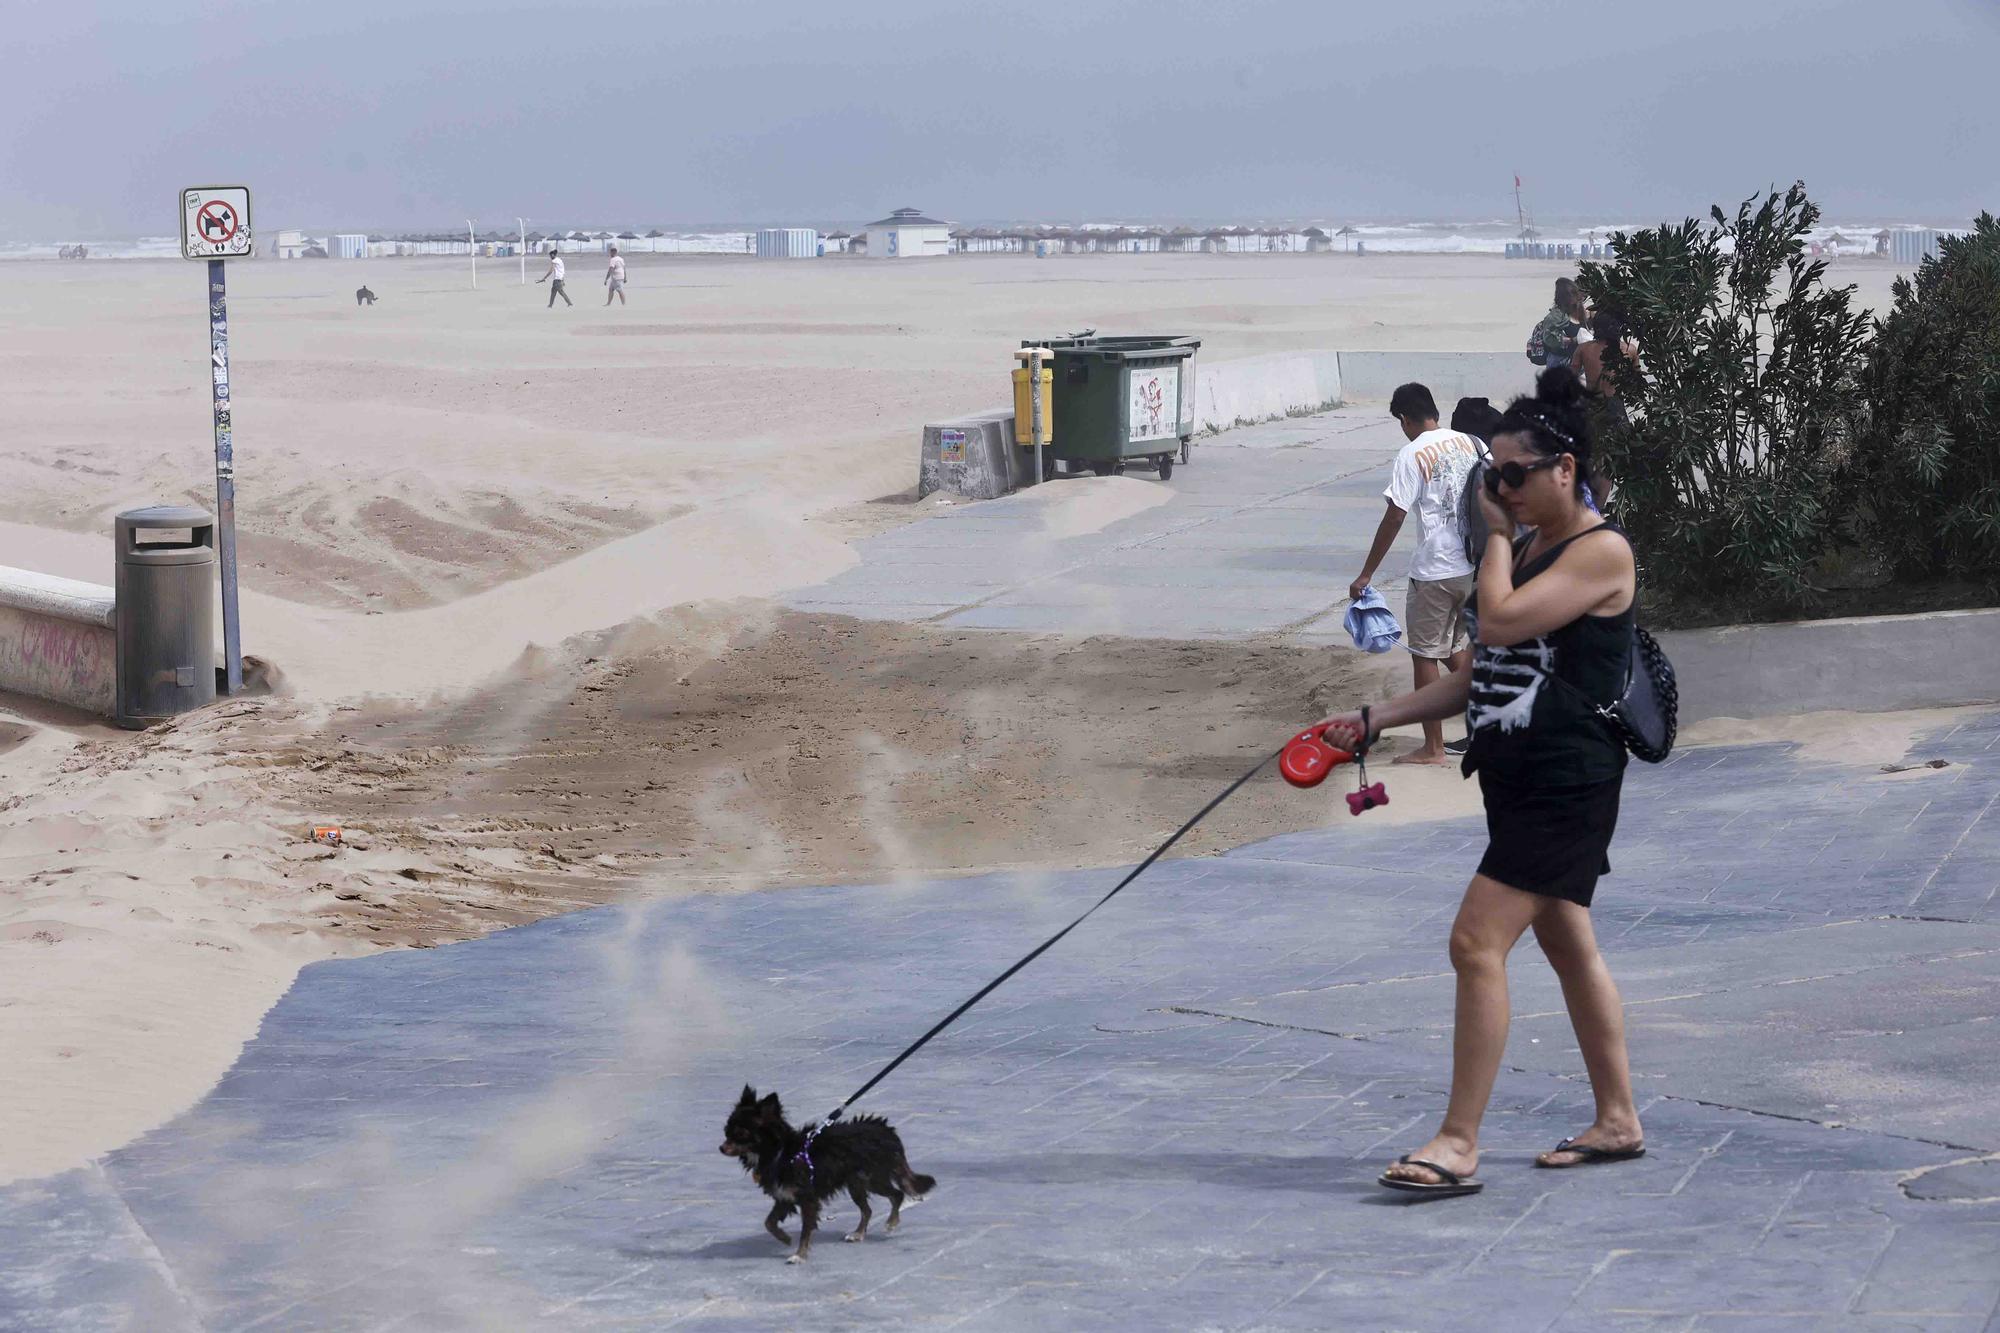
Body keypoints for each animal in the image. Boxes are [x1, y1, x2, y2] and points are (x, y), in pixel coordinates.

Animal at [720, 1080, 936, 1256]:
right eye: (726, 1131)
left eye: (741, 1133)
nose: (721, 1148)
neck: (780, 1153)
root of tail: (886, 1130)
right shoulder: (784, 1196)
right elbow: (769, 1222)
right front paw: (785, 1238)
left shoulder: (807, 1199)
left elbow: (805, 1230)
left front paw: (799, 1255)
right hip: (857, 1184)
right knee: (868, 1209)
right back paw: (858, 1234)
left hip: (873, 1178)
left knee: (897, 1194)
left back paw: (891, 1222)